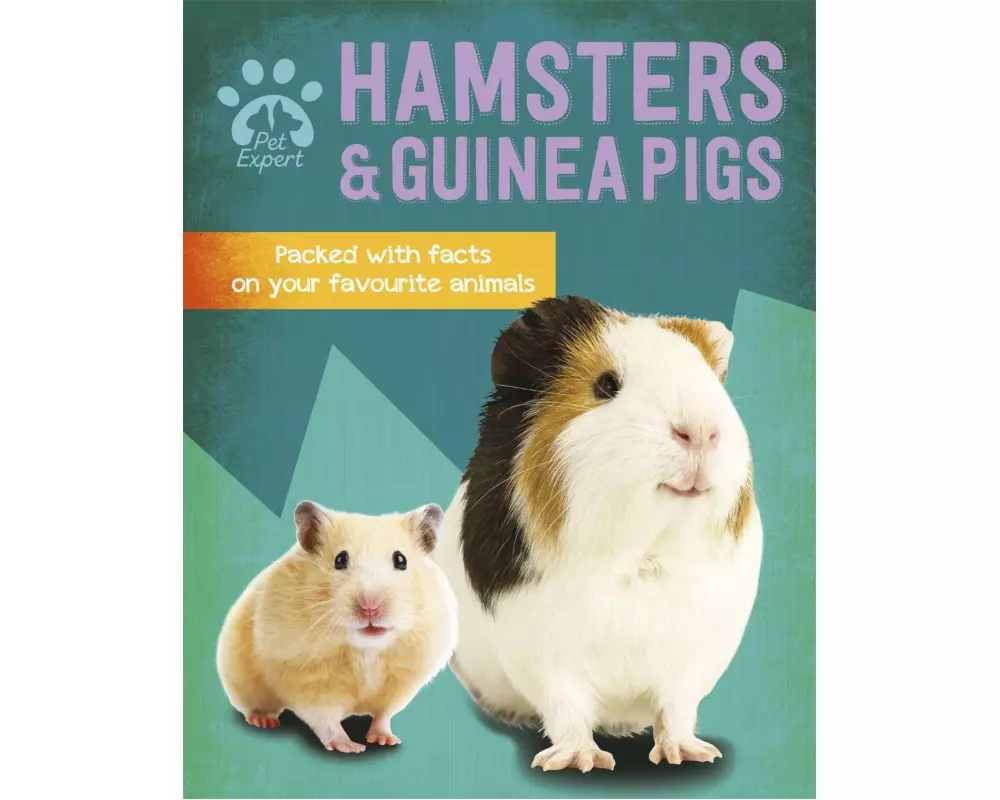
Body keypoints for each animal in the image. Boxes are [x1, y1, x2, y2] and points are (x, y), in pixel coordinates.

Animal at [217, 501, 458, 753]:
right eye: (340, 560)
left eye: (401, 560)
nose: (370, 606)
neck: (367, 649)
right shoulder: (308, 681)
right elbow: (326, 719)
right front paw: (352, 747)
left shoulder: (400, 682)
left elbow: (383, 715)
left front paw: (385, 740)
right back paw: (263, 720)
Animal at [434, 296, 762, 772]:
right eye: (606, 385)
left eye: (708, 382)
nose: (700, 431)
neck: (639, 556)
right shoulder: (545, 656)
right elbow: (567, 711)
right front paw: (580, 762)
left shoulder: (691, 658)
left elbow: (676, 710)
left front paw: (691, 755)